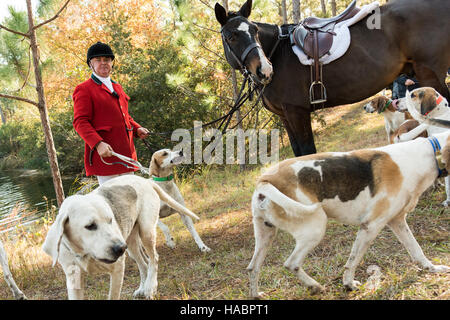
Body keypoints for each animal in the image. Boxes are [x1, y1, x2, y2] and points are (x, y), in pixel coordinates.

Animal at [215, 0, 450, 156]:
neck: (278, 52)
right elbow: (298, 152)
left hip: (431, 77)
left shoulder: (297, 112)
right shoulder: (285, 116)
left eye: (254, 30)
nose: (264, 70)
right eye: (231, 36)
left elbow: (308, 152)